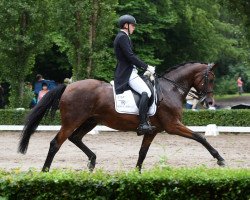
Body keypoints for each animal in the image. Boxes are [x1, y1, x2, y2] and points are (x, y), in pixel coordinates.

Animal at [18, 62, 226, 172]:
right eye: (210, 79)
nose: (209, 102)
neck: (170, 89)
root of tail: (68, 86)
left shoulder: (153, 130)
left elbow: (142, 152)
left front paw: (137, 173)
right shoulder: (172, 125)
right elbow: (200, 137)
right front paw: (219, 158)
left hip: (91, 121)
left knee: (75, 138)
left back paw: (92, 161)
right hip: (72, 121)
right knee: (56, 143)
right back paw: (45, 171)